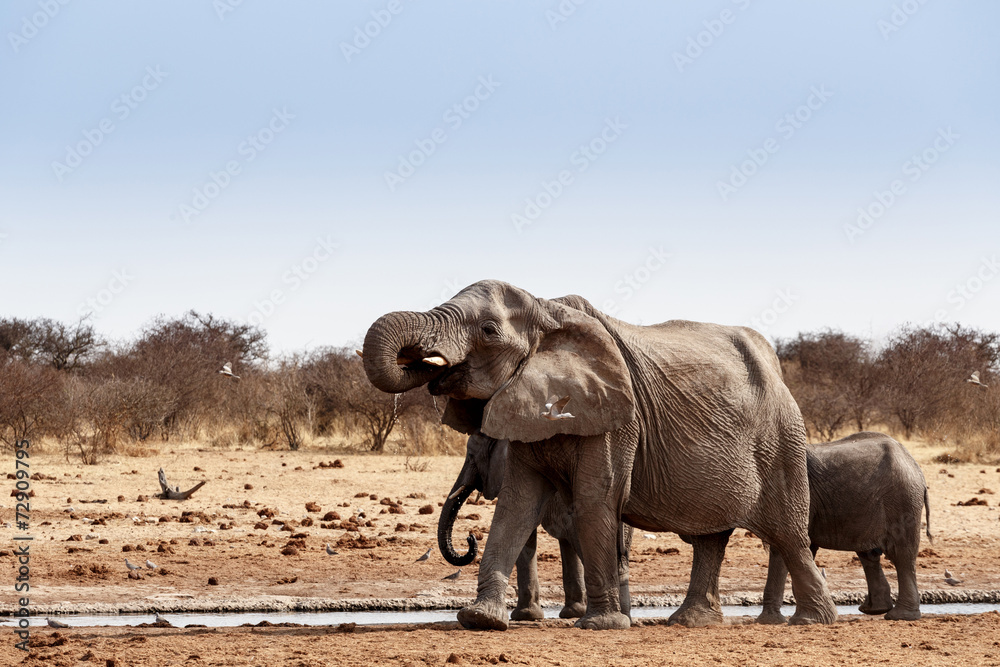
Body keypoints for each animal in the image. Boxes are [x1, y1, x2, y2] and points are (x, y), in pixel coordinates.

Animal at [760, 434, 932, 628]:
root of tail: (916, 468)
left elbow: (784, 543)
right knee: (869, 554)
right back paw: (874, 609)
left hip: (902, 501)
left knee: (902, 555)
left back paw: (899, 616)